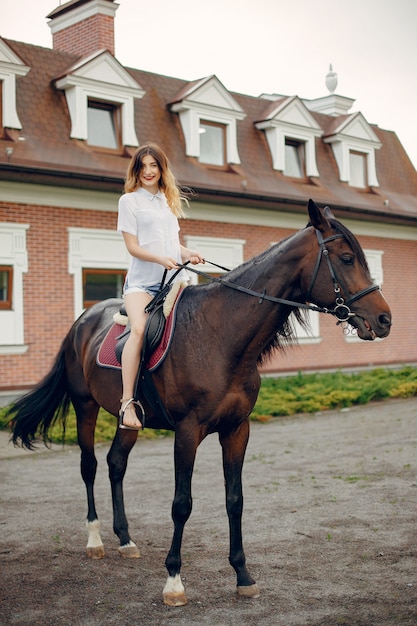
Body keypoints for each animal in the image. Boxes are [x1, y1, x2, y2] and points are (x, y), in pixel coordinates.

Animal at [6, 197, 390, 604]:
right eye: (346, 258)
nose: (385, 319)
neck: (219, 337)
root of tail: (82, 319)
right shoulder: (187, 432)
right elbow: (182, 504)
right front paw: (174, 580)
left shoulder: (237, 430)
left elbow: (235, 500)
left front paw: (243, 574)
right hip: (85, 406)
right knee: (90, 466)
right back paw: (95, 540)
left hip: (130, 420)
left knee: (115, 464)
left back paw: (125, 539)